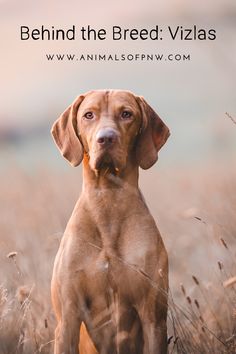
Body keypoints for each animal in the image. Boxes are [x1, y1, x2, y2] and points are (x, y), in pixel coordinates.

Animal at [51, 89, 170, 354]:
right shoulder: (67, 319)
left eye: (126, 114)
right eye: (88, 115)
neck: (107, 199)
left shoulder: (154, 319)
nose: (106, 139)